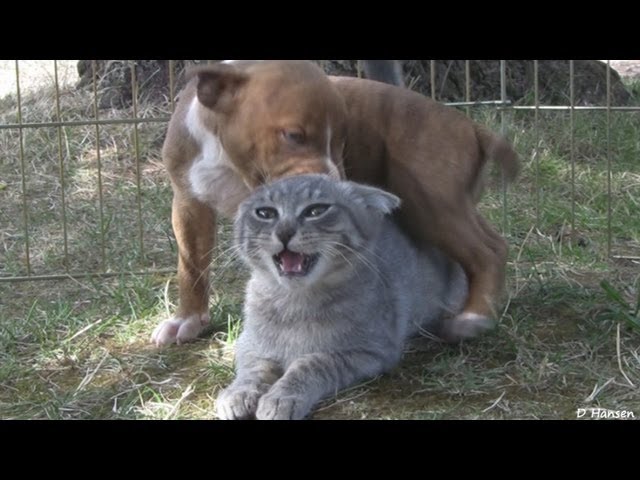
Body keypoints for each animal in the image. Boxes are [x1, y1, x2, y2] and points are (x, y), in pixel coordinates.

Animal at [151, 60, 520, 346]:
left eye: (342, 141)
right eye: (294, 135)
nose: (331, 183)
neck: (229, 162)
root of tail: (471, 126)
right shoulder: (189, 205)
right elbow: (191, 265)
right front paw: (188, 320)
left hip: (431, 201)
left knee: (488, 250)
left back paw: (473, 317)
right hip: (448, 206)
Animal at [218, 174, 468, 418]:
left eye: (316, 211)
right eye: (265, 213)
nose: (284, 232)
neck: (295, 301)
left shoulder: (369, 351)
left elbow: (310, 363)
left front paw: (282, 397)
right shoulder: (250, 342)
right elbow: (254, 369)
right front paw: (239, 392)